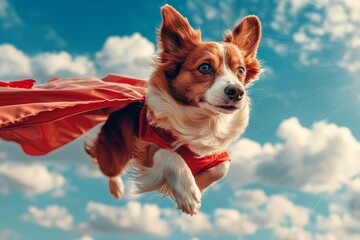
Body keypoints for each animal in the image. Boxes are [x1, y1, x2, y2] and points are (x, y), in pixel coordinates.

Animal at [86, 3, 262, 215]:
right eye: (205, 67)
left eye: (241, 70)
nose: (237, 92)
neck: (202, 120)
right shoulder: (146, 145)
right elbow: (171, 154)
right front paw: (187, 193)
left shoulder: (218, 155)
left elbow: (221, 169)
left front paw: (195, 187)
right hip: (114, 158)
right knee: (107, 167)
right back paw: (116, 188)